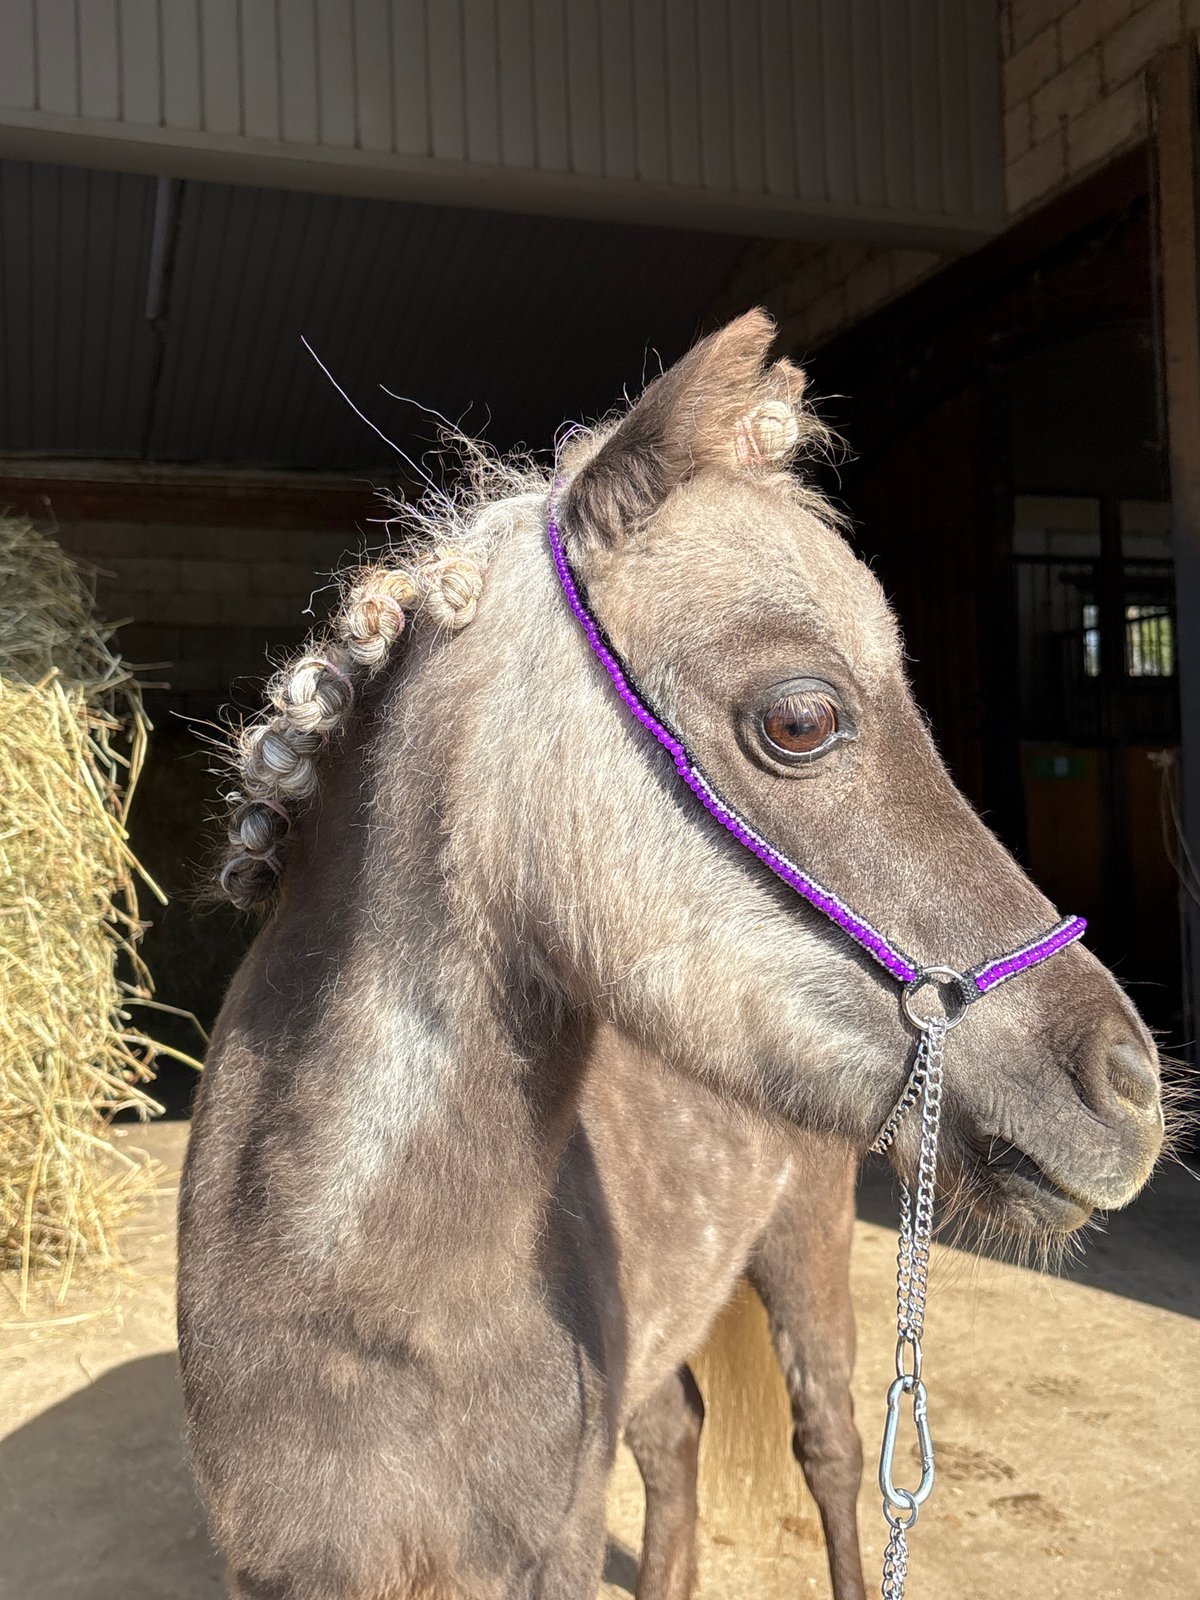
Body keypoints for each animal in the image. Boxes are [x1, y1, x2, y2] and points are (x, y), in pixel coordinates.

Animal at [178, 310, 1164, 1600]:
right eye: (801, 718)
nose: (1133, 1087)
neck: (365, 1310)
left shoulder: (544, 1551)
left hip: (806, 1265)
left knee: (829, 1448)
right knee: (679, 1436)